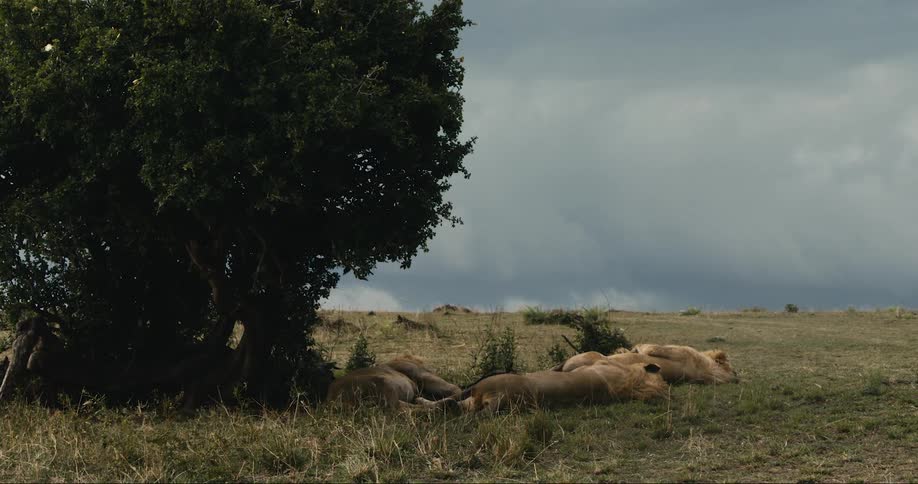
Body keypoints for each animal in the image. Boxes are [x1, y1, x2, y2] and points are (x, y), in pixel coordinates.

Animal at [325, 354, 460, 411]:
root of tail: (331, 399)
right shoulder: (422, 376)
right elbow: (455, 388)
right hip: (385, 385)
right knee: (402, 409)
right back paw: (447, 406)